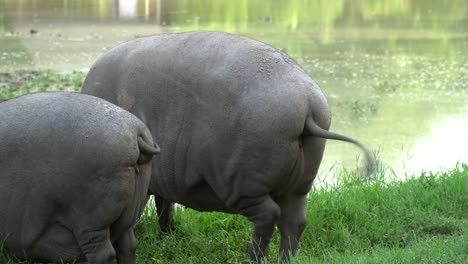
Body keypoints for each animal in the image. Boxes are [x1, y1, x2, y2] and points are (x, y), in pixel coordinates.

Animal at [80, 31, 372, 260]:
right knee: (295, 222)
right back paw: (284, 259)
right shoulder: (162, 179)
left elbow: (161, 206)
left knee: (268, 216)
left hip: (242, 183)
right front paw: (168, 235)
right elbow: (165, 206)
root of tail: (307, 104)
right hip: (298, 185)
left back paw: (253, 258)